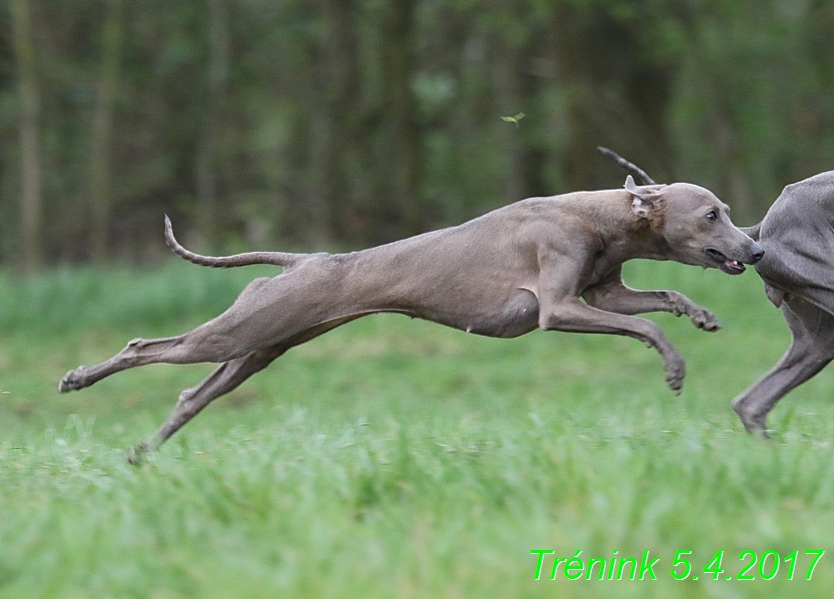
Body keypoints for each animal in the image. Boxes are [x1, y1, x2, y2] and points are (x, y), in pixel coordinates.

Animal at [57, 176, 760, 462]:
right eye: (711, 215)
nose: (754, 249)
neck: (605, 215)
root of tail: (301, 261)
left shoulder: (604, 292)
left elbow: (661, 298)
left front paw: (700, 315)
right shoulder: (557, 309)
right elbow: (648, 326)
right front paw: (674, 368)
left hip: (258, 348)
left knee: (188, 395)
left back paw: (143, 452)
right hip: (238, 332)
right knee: (144, 345)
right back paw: (77, 379)